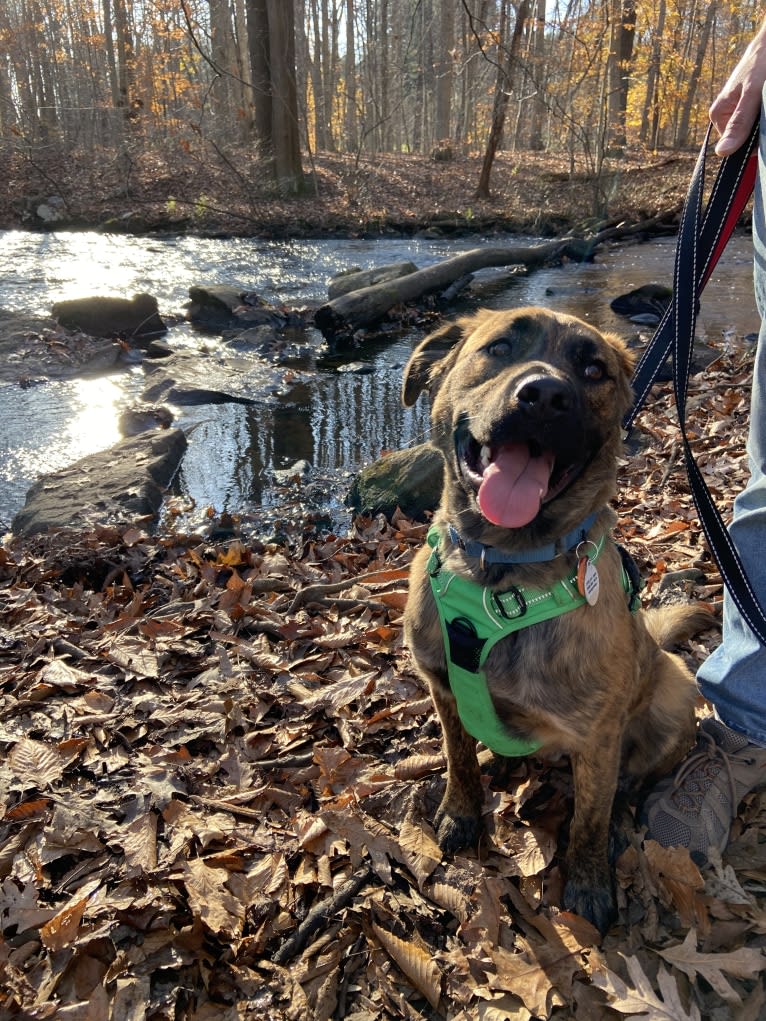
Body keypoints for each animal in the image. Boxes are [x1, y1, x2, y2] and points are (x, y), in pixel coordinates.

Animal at [402, 304, 714, 935]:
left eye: (594, 370)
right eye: (498, 348)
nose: (545, 396)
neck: (500, 578)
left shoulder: (596, 736)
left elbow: (589, 818)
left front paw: (590, 882)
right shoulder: (443, 690)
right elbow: (457, 759)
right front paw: (460, 812)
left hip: (672, 696)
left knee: (629, 782)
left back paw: (621, 817)